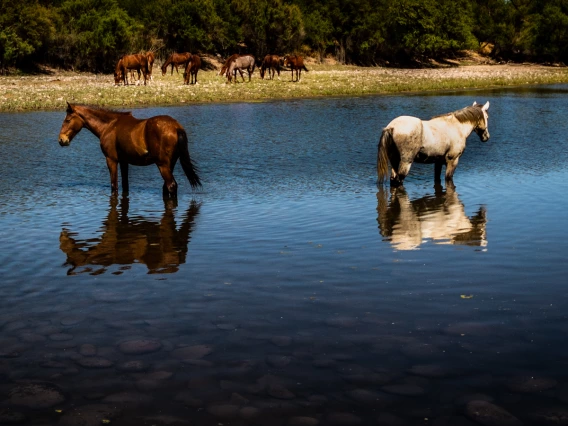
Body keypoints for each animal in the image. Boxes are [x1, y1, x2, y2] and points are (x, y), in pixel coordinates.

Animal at [58, 103, 201, 198]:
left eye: (68, 120)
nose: (61, 140)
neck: (109, 126)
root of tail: (176, 127)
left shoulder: (111, 160)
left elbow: (114, 186)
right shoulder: (124, 162)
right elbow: (125, 185)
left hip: (162, 165)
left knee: (171, 185)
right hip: (170, 164)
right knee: (167, 186)